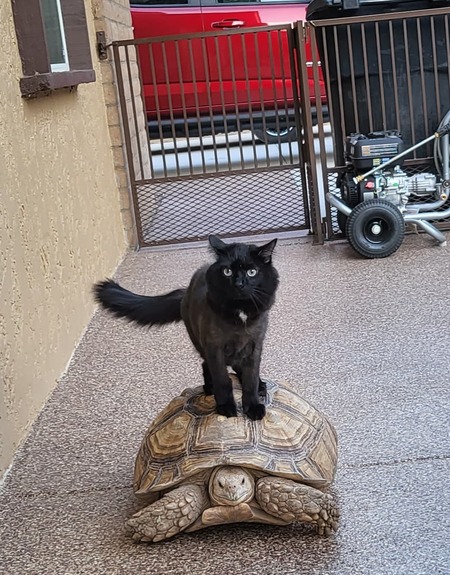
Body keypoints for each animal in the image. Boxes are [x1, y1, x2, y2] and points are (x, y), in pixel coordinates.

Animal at [93, 236, 280, 420]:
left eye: (252, 272)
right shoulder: (215, 347)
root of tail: (186, 292)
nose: (239, 284)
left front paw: (254, 406)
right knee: (206, 365)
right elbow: (222, 380)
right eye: (227, 271)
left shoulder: (255, 345)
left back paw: (260, 386)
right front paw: (225, 406)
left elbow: (250, 379)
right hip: (199, 341)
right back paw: (210, 388)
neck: (240, 314)